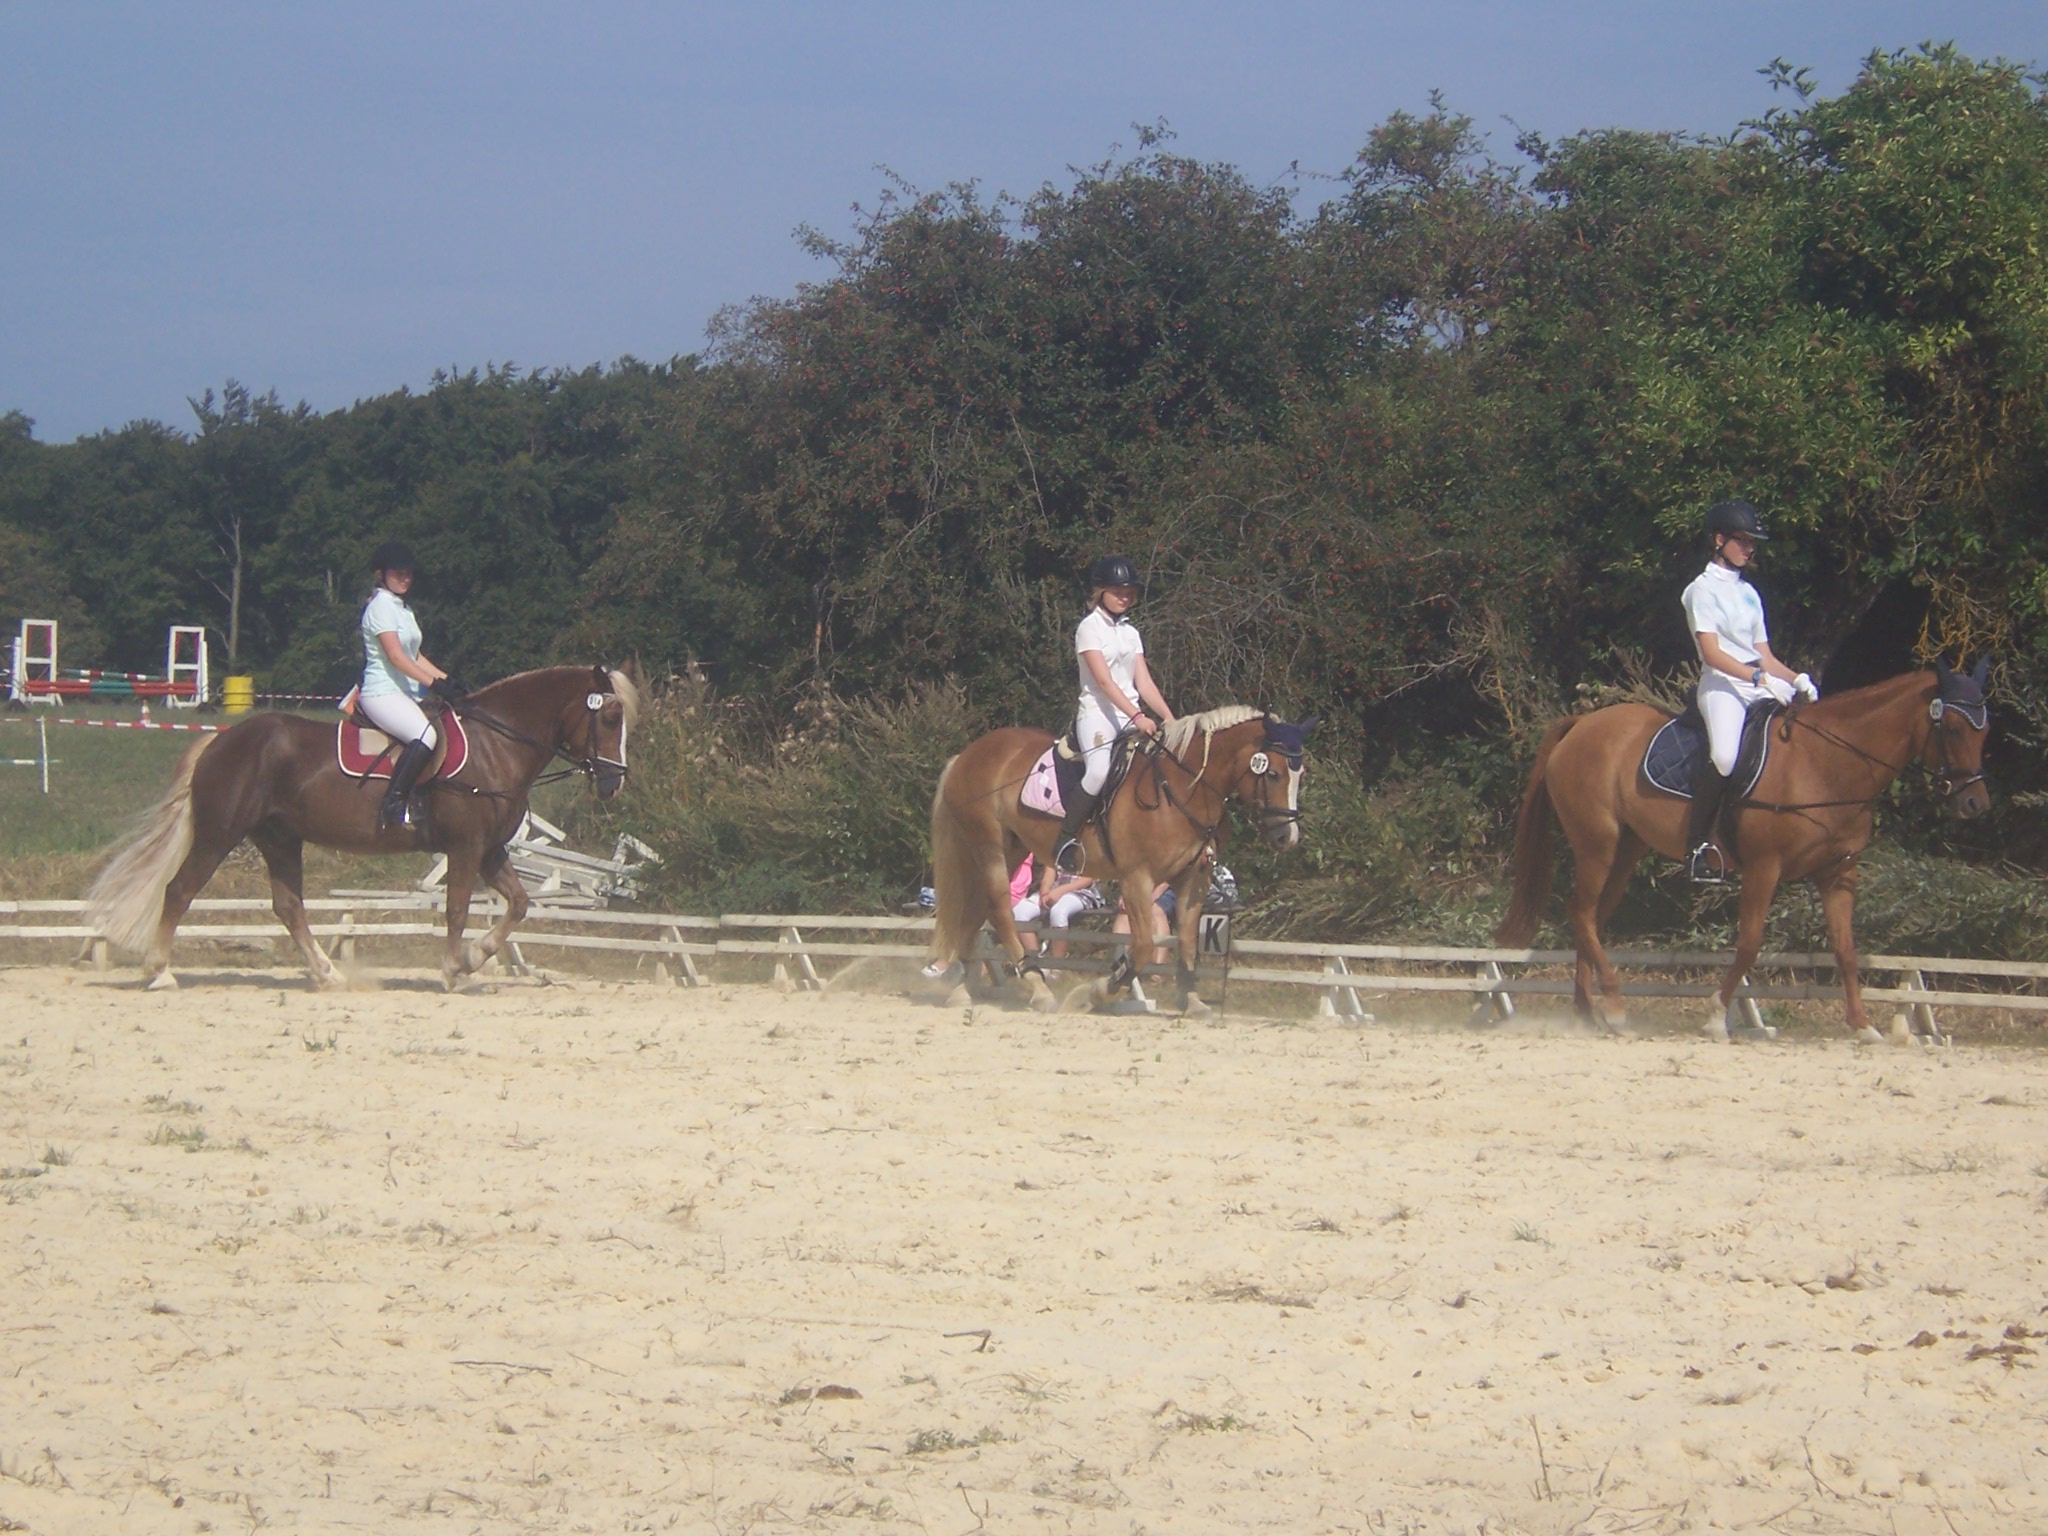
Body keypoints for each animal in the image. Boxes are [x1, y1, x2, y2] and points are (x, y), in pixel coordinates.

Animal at [86, 665, 638, 992]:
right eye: (610, 718)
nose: (614, 783)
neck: (495, 745)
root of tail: (222, 740)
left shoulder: (490, 851)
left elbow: (520, 905)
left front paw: (474, 958)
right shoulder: (465, 848)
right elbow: (458, 909)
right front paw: (452, 969)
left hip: (280, 839)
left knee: (288, 906)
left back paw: (328, 974)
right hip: (220, 833)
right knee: (179, 890)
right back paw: (159, 972)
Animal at [927, 706, 1318, 1014]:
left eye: (1300, 774)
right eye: (1272, 773)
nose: (1287, 837)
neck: (1182, 787)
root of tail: (967, 754)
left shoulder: (1193, 879)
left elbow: (1187, 942)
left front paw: (1192, 999)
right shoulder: (1136, 879)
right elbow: (1143, 947)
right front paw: (1098, 992)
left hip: (1012, 849)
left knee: (977, 910)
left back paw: (961, 989)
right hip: (988, 846)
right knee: (997, 909)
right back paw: (1037, 988)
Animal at [1496, 659, 1991, 1041]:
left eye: (1985, 730)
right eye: (1951, 727)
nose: (1974, 803)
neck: (1825, 765)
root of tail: (1582, 723)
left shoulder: (1838, 873)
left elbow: (1846, 949)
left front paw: (1862, 1025)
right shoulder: (1763, 868)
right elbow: (1750, 943)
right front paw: (1717, 1016)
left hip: (1626, 850)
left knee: (1591, 918)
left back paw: (1586, 1012)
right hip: (1597, 844)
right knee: (1582, 912)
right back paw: (1614, 1009)